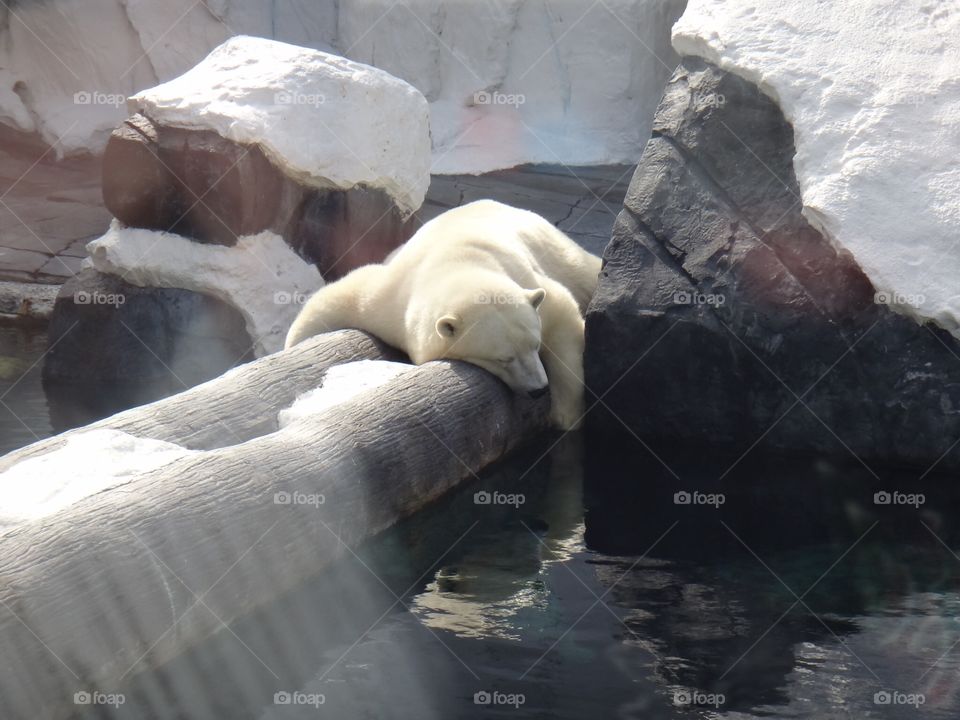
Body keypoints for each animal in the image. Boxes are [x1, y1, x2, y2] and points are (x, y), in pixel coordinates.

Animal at [284, 199, 602, 430]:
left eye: (535, 345)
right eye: (503, 359)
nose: (537, 389)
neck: (457, 262)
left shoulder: (526, 277)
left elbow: (562, 312)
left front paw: (566, 415)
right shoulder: (391, 298)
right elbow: (338, 298)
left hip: (556, 249)